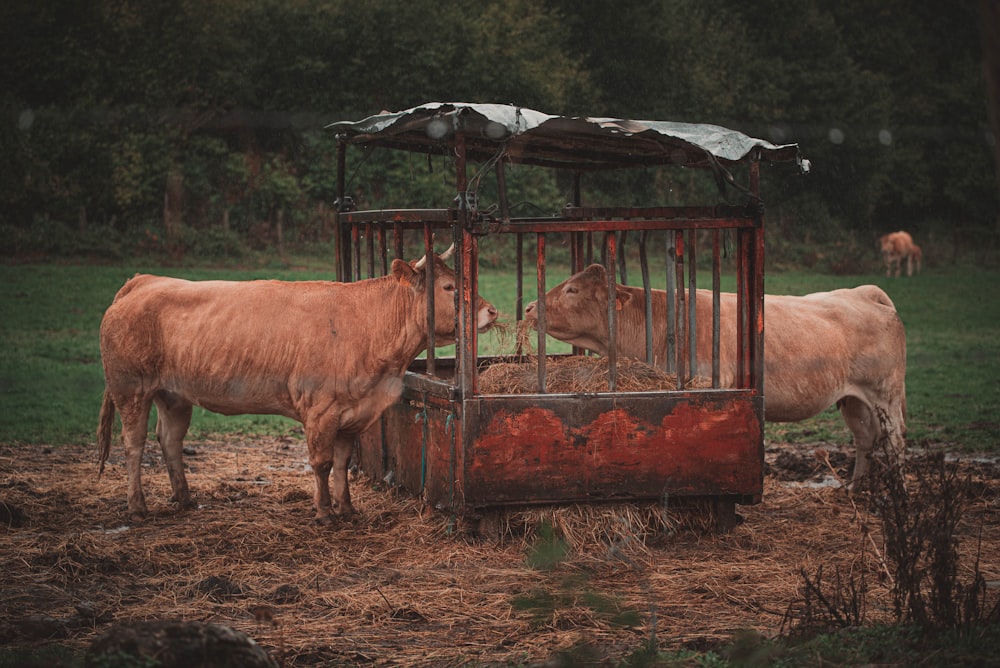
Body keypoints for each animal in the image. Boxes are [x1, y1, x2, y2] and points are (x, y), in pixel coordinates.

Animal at [97, 248, 496, 524]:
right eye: (449, 287)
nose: (491, 310)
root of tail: (144, 281)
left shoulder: (354, 412)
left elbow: (342, 462)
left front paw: (347, 508)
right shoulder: (321, 410)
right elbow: (321, 463)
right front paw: (324, 513)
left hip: (173, 394)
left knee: (170, 440)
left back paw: (184, 498)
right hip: (130, 387)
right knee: (134, 444)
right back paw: (137, 507)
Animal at [528, 264, 912, 488]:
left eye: (572, 290)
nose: (530, 307)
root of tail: (865, 292)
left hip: (885, 395)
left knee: (895, 442)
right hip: (853, 400)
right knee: (866, 440)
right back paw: (855, 490)